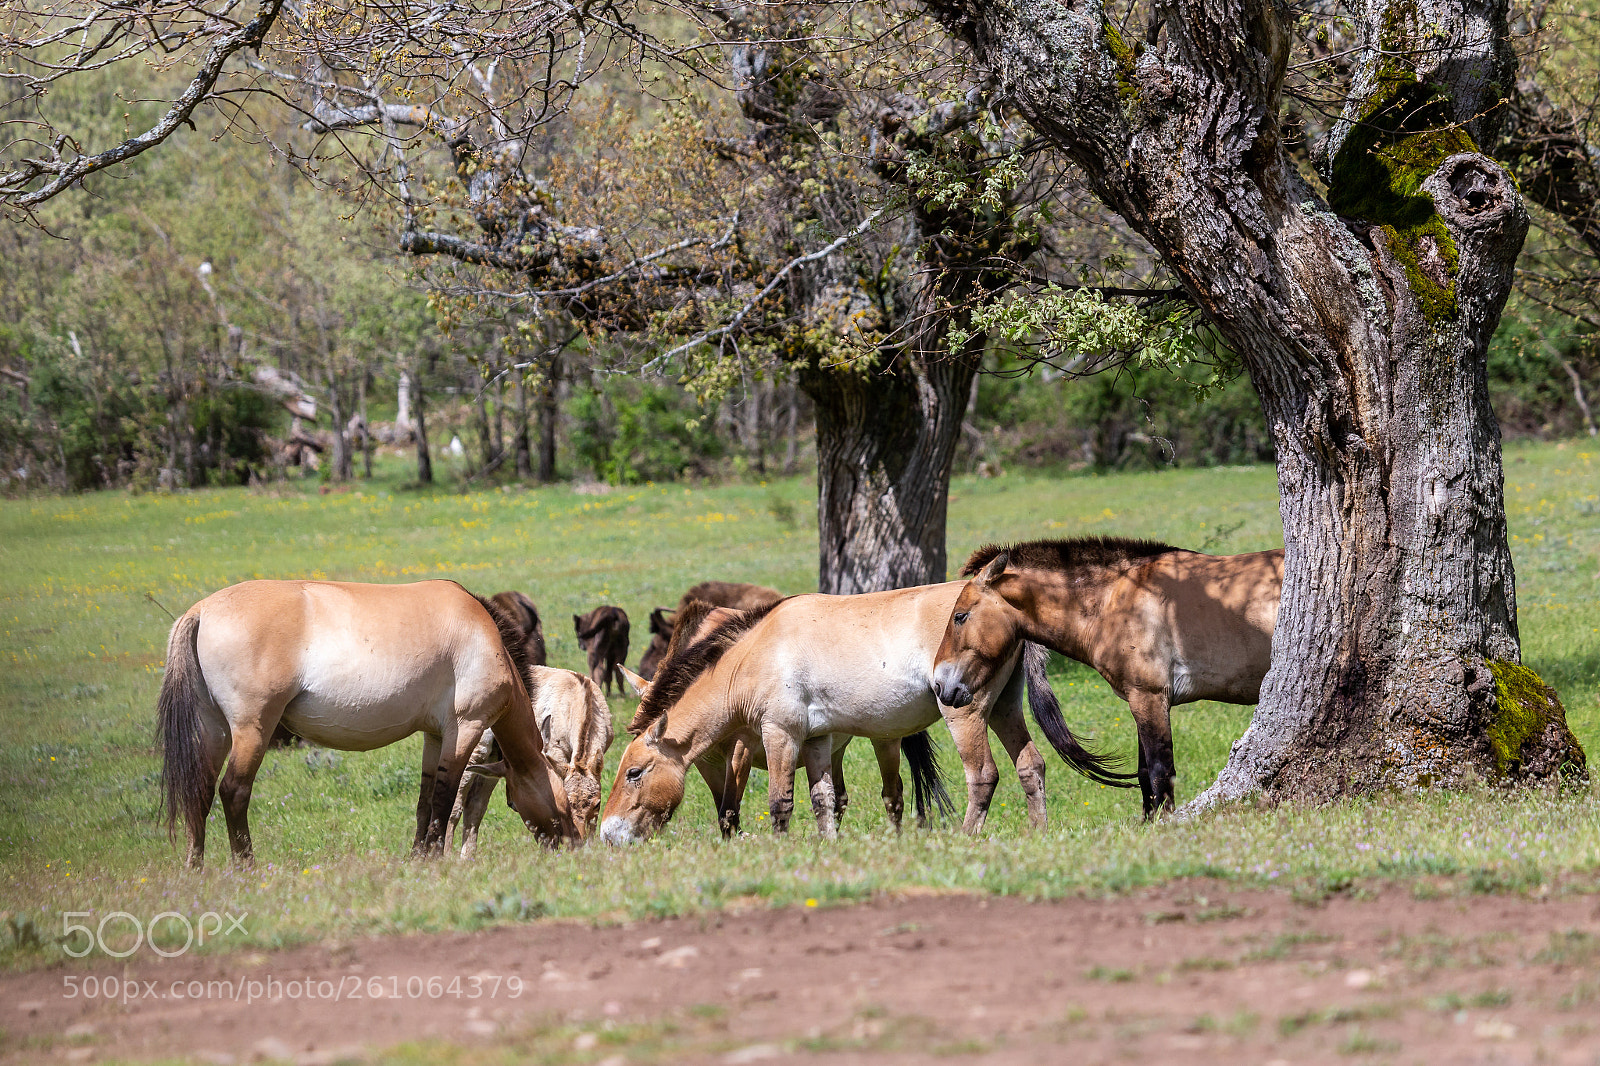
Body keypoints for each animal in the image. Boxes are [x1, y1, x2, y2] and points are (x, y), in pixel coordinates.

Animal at [156, 579, 580, 868]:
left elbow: (425, 800)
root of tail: (201, 610)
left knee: (201, 792)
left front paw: (418, 858)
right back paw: (246, 866)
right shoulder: (465, 729)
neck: (484, 636)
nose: (572, 842)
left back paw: (196, 868)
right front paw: (435, 860)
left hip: (214, 730)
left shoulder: (434, 735)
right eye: (513, 801)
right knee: (234, 792)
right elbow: (444, 799)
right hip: (253, 730)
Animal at [449, 665, 613, 856]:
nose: (579, 843)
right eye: (567, 802)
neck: (579, 698)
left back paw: (467, 856)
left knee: (475, 805)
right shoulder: (554, 753)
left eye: (597, 804)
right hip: (475, 750)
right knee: (456, 805)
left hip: (493, 757)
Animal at [932, 537, 1283, 818]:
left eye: (960, 616)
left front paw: (1164, 825)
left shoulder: (1149, 697)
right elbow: (1145, 773)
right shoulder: (1141, 700)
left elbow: (1160, 770)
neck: (1119, 600)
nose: (939, 685)